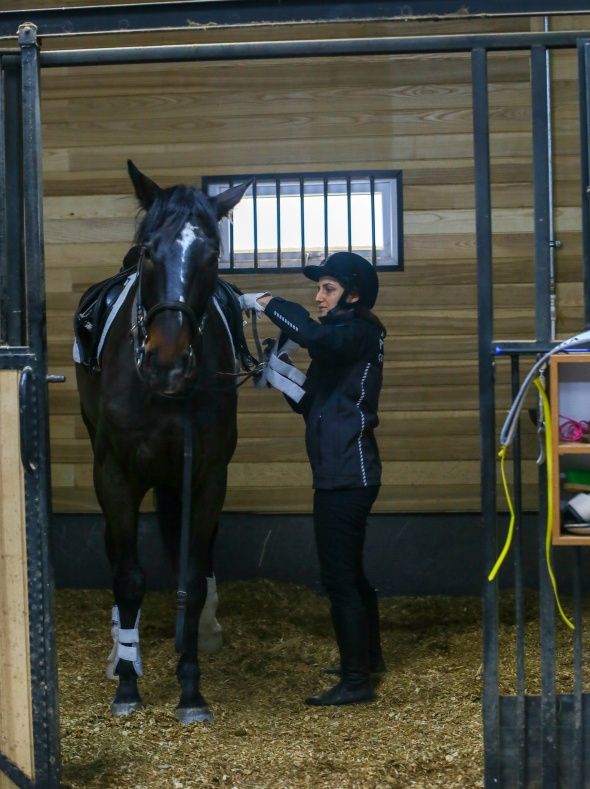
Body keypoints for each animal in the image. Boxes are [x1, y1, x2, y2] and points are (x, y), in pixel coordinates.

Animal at [75, 159, 251, 720]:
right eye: (150, 251)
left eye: (212, 254)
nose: (167, 363)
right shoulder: (115, 474)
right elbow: (129, 577)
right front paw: (128, 685)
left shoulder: (206, 475)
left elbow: (190, 579)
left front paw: (191, 689)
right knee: (116, 554)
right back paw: (119, 651)